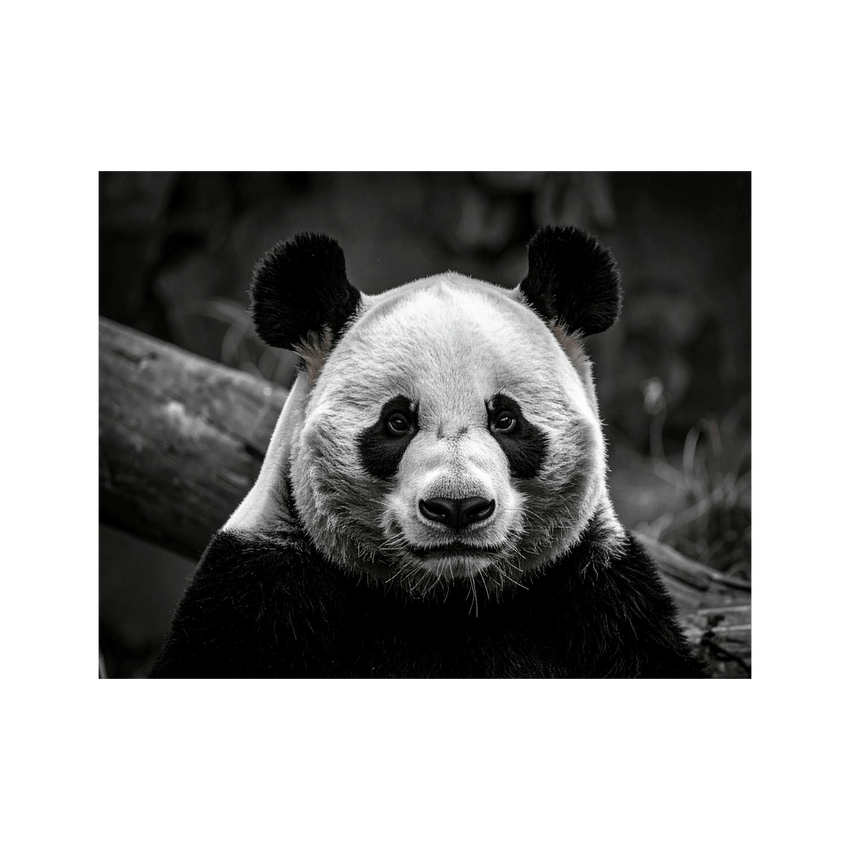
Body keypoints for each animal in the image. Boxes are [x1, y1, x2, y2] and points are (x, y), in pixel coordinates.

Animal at [149, 226, 705, 678]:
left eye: (506, 420)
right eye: (397, 422)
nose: (457, 507)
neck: (447, 598)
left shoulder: (595, 596)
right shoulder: (262, 587)